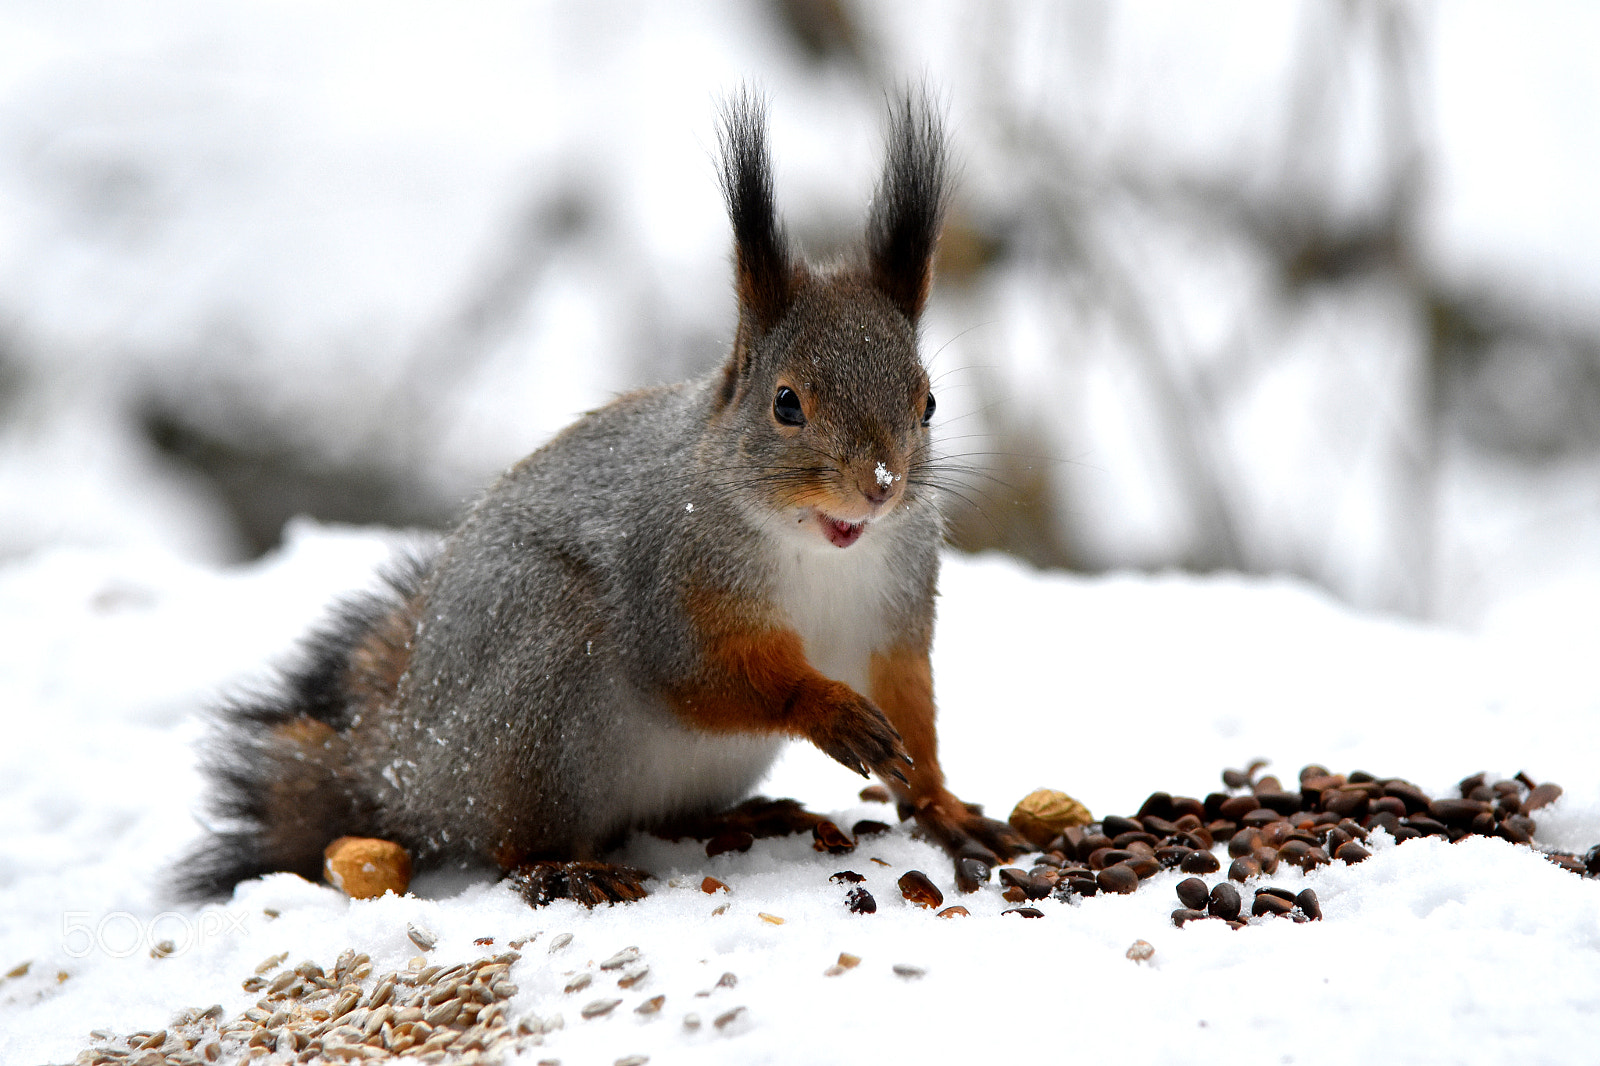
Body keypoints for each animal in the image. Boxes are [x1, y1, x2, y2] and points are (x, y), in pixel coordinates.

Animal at [175, 89, 1026, 907]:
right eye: (786, 403)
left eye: (928, 404)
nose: (879, 487)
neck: (818, 548)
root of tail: (406, 777)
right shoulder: (671, 582)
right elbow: (703, 677)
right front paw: (827, 710)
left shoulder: (896, 610)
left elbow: (910, 704)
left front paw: (944, 806)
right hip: (545, 685)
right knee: (508, 843)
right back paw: (564, 868)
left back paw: (747, 817)